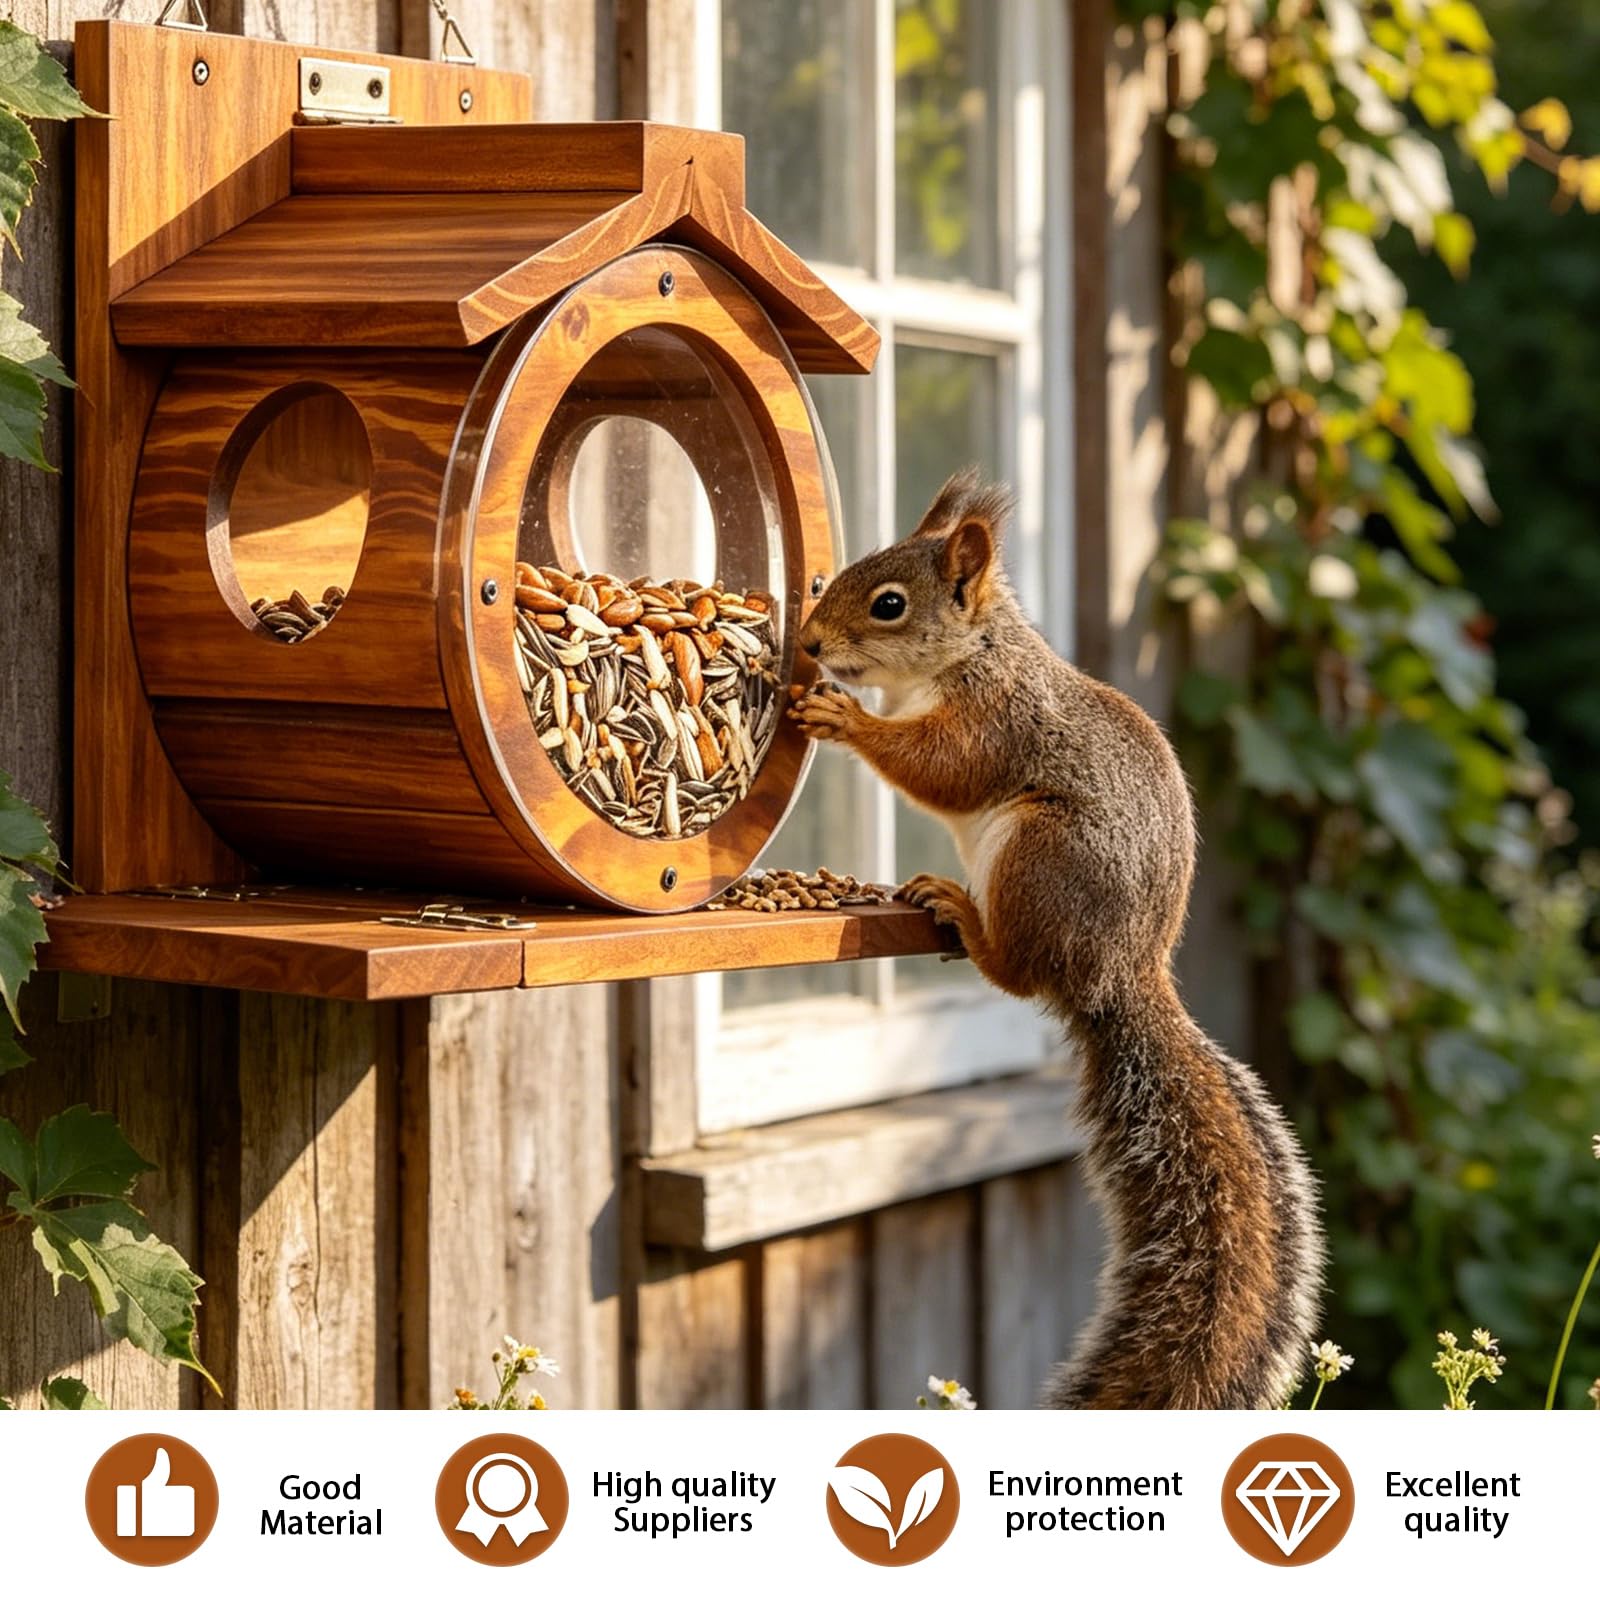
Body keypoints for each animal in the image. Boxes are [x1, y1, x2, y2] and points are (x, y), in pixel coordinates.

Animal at [788, 469, 1323, 1409]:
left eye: (889, 604)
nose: (811, 643)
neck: (969, 654)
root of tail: (1120, 976)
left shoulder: (995, 720)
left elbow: (941, 768)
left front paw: (848, 721)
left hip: (1043, 856)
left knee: (1015, 971)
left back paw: (961, 910)